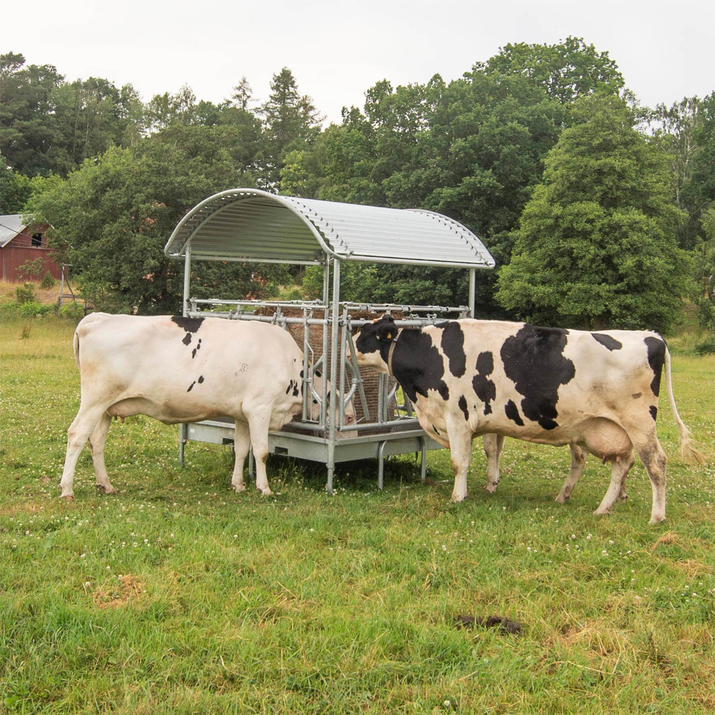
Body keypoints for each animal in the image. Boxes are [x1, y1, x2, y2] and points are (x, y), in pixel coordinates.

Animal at [60, 316, 348, 500]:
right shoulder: (260, 408)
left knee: (96, 441)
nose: (347, 425)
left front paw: (238, 484)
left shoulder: (242, 413)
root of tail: (97, 317)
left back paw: (105, 485)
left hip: (106, 407)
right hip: (95, 399)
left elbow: (242, 449)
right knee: (77, 435)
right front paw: (264, 488)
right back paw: (67, 489)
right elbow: (262, 451)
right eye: (343, 408)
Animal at [356, 316, 704, 524]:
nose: (351, 340)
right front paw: (491, 486)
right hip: (610, 428)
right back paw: (603, 507)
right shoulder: (489, 419)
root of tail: (650, 336)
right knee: (622, 465)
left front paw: (458, 496)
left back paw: (656, 516)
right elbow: (492, 452)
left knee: (655, 464)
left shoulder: (457, 417)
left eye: (369, 333)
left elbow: (459, 462)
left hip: (639, 424)